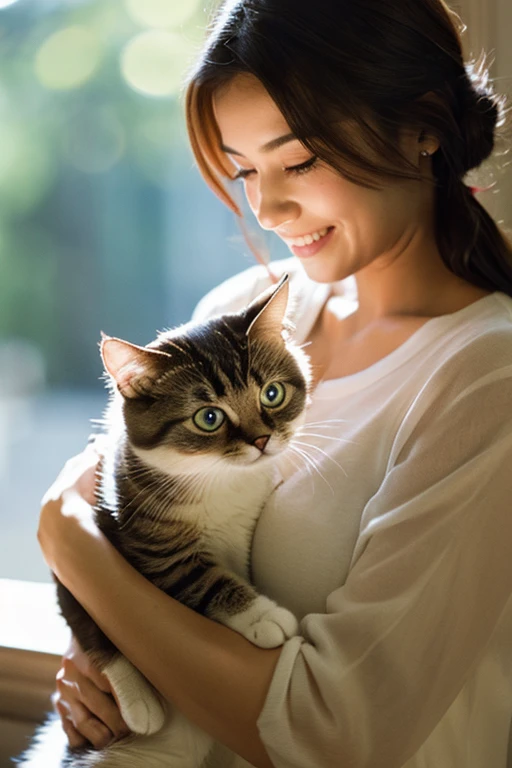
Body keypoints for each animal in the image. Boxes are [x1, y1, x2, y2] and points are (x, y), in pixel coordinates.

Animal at [19, 272, 312, 764]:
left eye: (272, 394)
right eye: (209, 418)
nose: (261, 440)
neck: (213, 479)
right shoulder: (134, 532)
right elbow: (199, 577)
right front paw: (262, 616)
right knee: (87, 621)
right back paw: (139, 704)